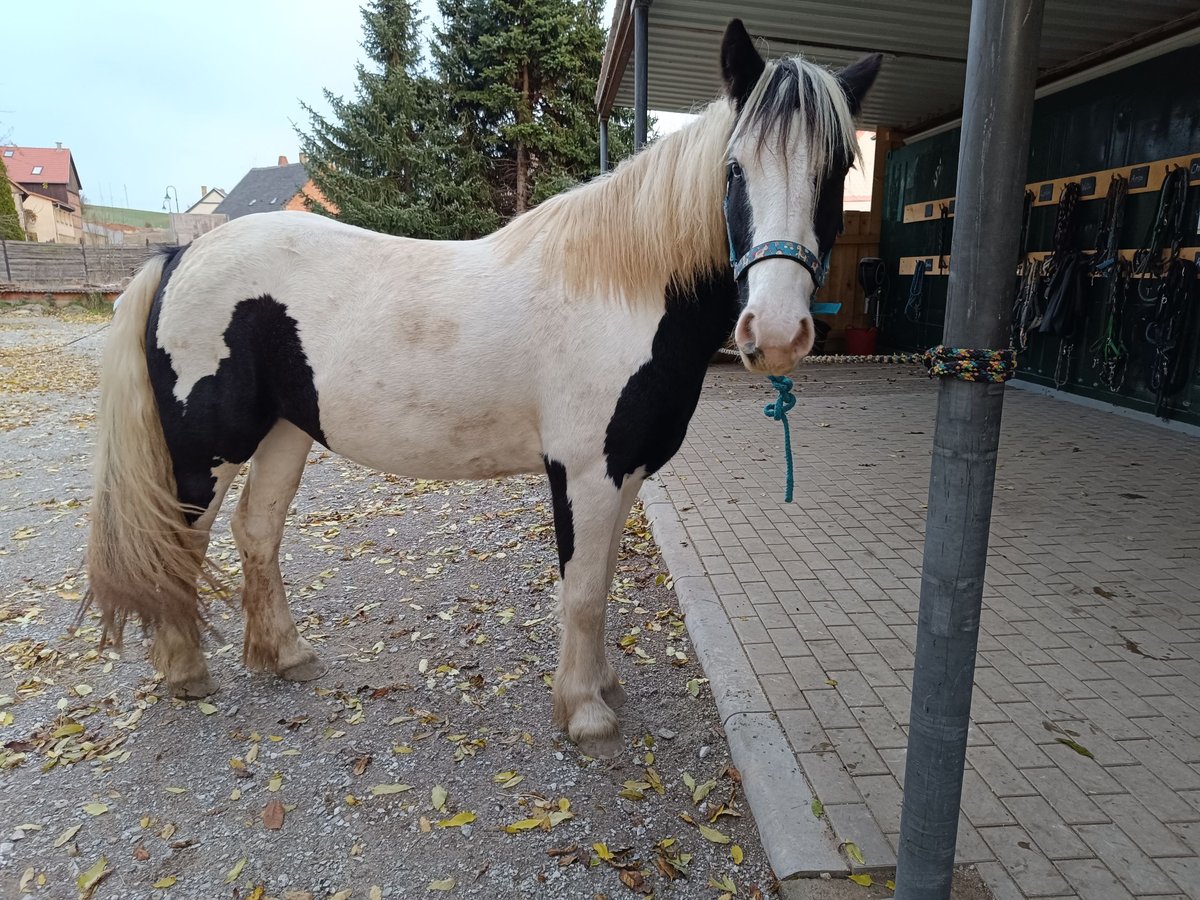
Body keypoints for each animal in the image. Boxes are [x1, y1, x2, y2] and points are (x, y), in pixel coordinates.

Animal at [84, 19, 873, 763]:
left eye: (836, 170)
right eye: (735, 168)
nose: (776, 331)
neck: (626, 290)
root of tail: (181, 253)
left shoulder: (623, 473)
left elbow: (602, 581)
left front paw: (604, 685)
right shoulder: (586, 474)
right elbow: (582, 592)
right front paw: (585, 712)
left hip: (285, 432)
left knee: (257, 531)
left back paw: (285, 656)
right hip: (207, 449)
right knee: (181, 541)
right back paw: (186, 672)